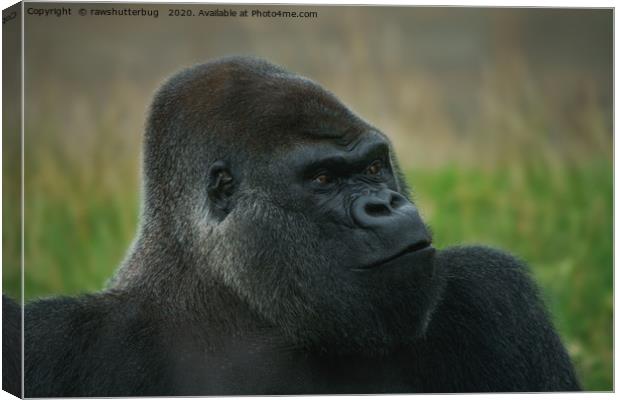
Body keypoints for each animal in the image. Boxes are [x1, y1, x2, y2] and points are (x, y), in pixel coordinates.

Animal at [2, 57, 580, 396]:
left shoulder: (491, 294)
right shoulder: (51, 342)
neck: (241, 312)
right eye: (323, 179)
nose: (385, 205)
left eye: (375, 167)